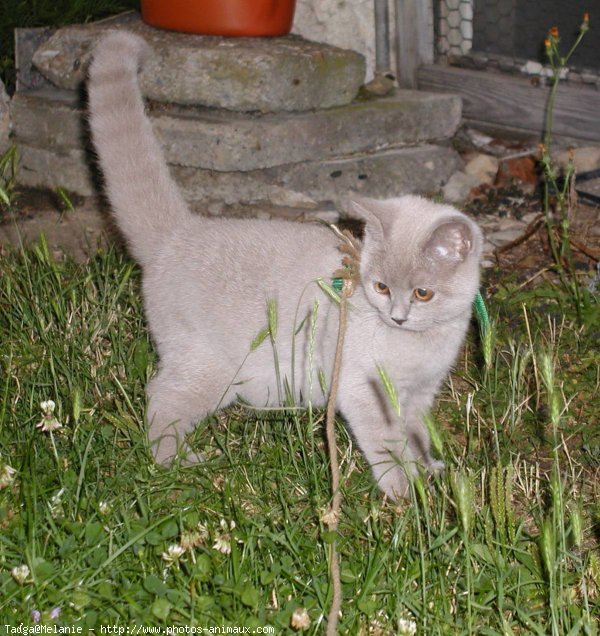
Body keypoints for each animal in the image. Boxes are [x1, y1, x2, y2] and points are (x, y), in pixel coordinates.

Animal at [88, 31, 482, 502]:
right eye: (382, 287)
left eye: (423, 293)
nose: (397, 316)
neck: (422, 344)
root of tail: (179, 232)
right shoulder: (364, 388)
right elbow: (385, 442)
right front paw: (402, 490)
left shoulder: (420, 393)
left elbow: (417, 433)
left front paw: (430, 471)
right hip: (207, 365)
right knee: (161, 397)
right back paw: (177, 463)